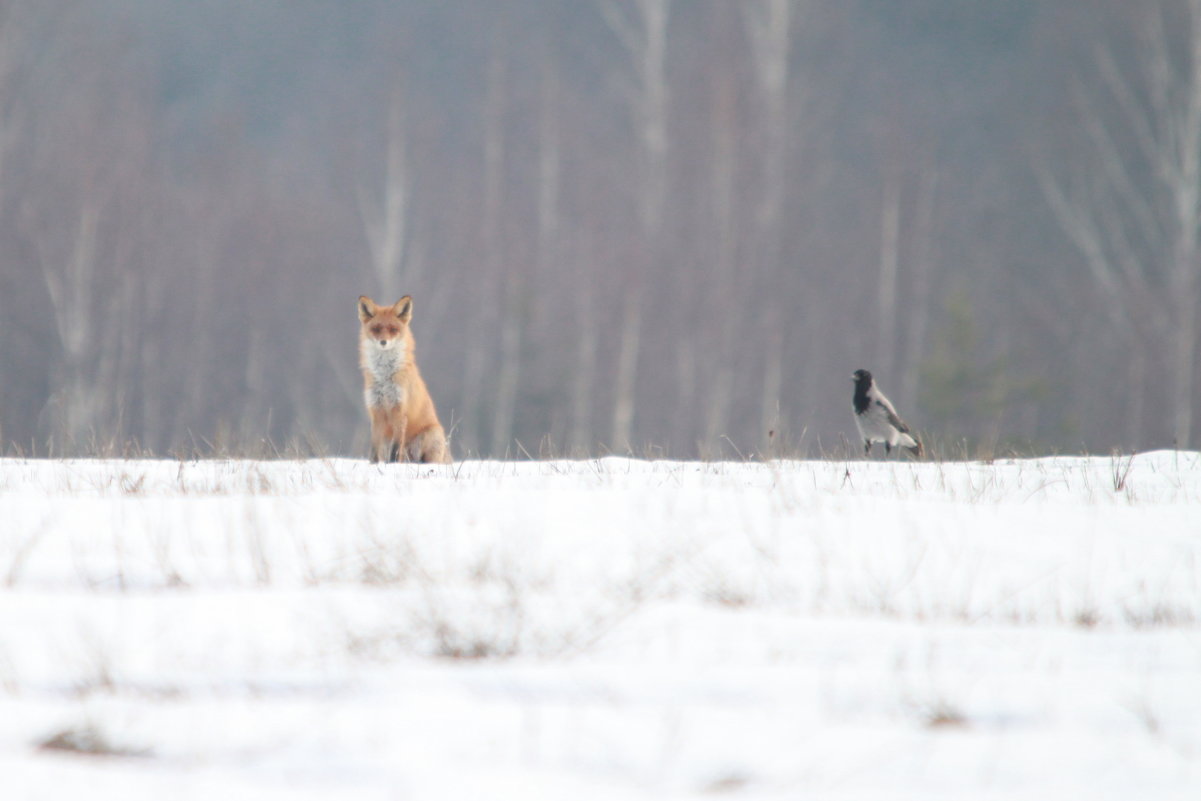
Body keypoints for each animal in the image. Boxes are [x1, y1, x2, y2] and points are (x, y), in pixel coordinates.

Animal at [357, 294, 451, 463]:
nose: (383, 342)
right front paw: (373, 465)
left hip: (431, 435)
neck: (385, 377)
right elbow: (374, 449)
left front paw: (393, 466)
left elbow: (396, 448)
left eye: (394, 330)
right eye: (376, 329)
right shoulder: (376, 410)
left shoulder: (400, 410)